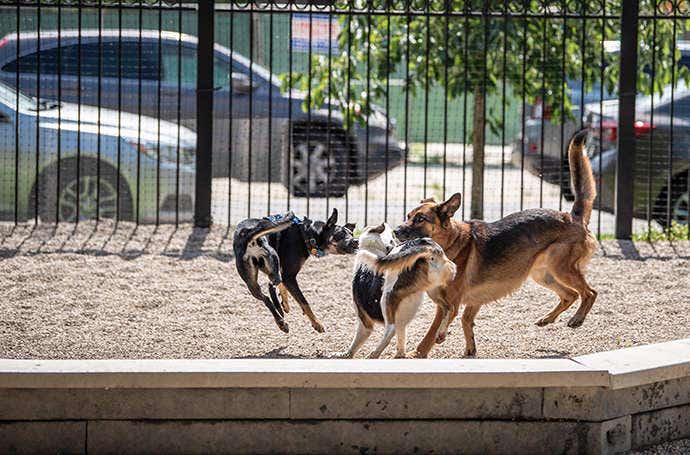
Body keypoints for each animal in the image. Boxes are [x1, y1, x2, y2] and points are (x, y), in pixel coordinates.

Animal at [392, 129, 596, 360]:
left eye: (420, 219)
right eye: (408, 216)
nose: (396, 231)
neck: (450, 244)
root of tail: (571, 217)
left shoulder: (448, 305)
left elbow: (431, 335)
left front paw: (416, 354)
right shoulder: (472, 299)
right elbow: (466, 320)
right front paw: (470, 350)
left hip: (559, 267)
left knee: (589, 293)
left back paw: (577, 319)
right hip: (542, 274)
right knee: (570, 295)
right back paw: (548, 319)